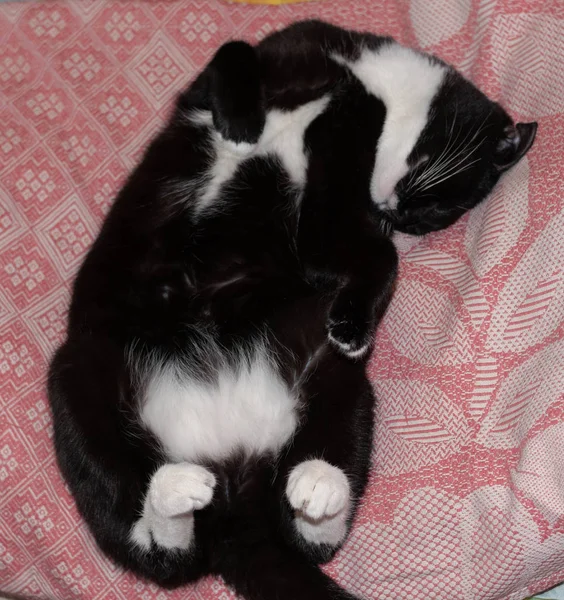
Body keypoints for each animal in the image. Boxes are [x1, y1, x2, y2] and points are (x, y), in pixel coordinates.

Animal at [47, 18, 532, 600]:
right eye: (439, 207)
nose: (397, 216)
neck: (367, 82)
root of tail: (232, 485)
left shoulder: (331, 199)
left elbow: (374, 254)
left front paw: (353, 323)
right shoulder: (277, 64)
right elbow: (232, 51)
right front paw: (240, 121)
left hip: (339, 383)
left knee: (282, 538)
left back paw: (316, 490)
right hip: (78, 374)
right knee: (155, 543)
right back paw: (180, 496)